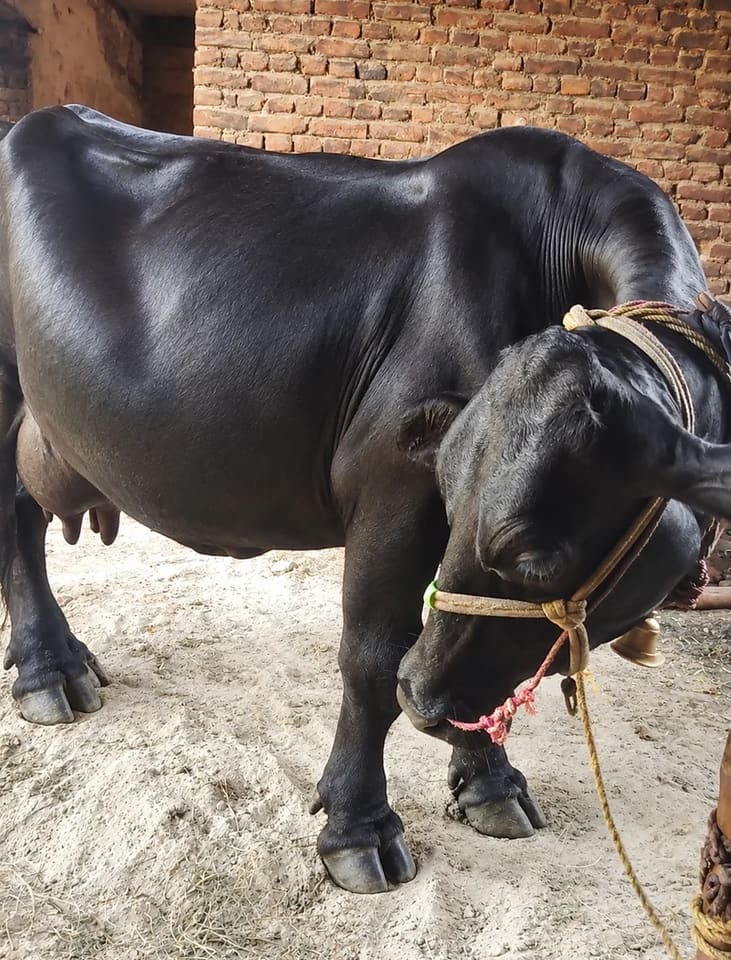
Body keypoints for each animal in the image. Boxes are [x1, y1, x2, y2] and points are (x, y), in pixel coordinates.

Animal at [0, 104, 719, 895]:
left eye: (533, 554)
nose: (423, 700)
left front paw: (491, 785)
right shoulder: (391, 487)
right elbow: (372, 657)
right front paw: (359, 827)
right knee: (13, 522)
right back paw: (48, 673)